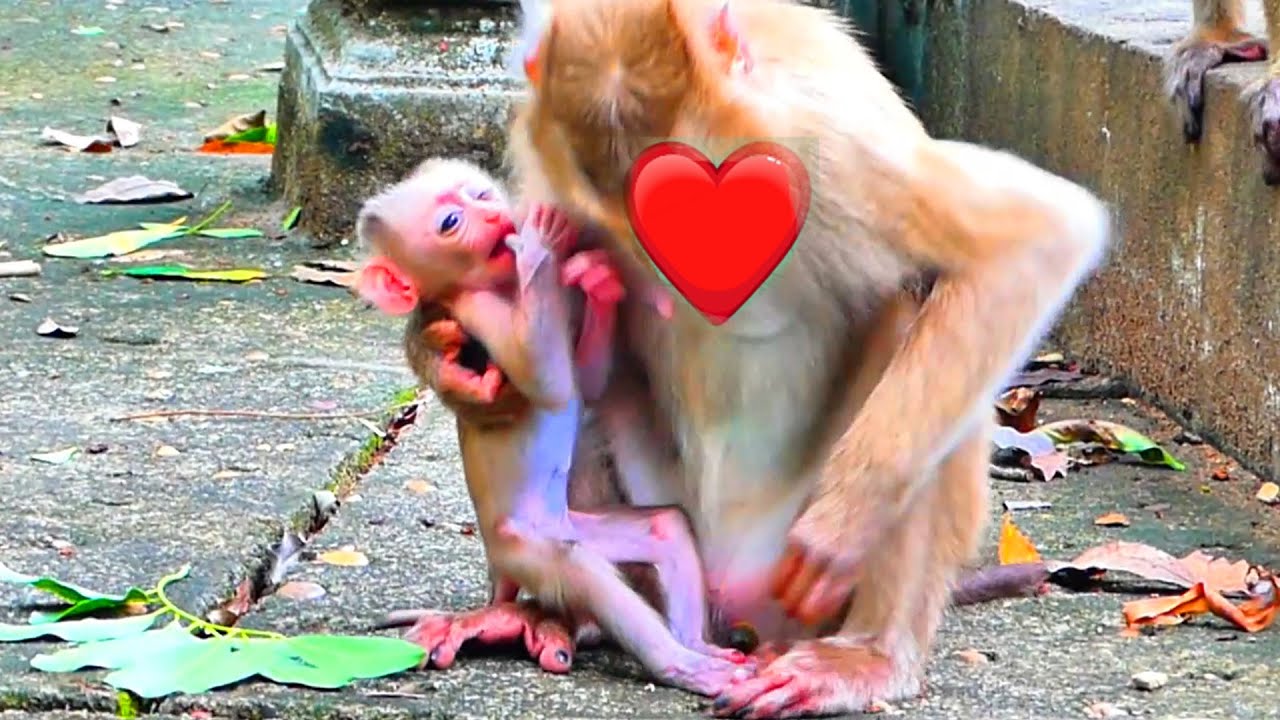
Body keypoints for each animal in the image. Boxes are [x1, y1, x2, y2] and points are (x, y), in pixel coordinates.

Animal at [353, 158, 752, 696]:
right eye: (452, 221)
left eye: (481, 194)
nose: (495, 214)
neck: (506, 288)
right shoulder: (475, 308)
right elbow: (551, 383)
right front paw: (539, 245)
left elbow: (587, 382)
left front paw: (596, 280)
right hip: (526, 548)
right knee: (580, 571)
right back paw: (681, 664)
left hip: (578, 525)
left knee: (663, 529)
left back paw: (696, 643)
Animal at [406, 0, 1112, 716]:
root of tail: (735, 600)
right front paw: (445, 357)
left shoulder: (835, 141)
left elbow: (1030, 239)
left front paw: (842, 527)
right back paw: (555, 615)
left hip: (787, 573)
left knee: (909, 301)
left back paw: (867, 654)